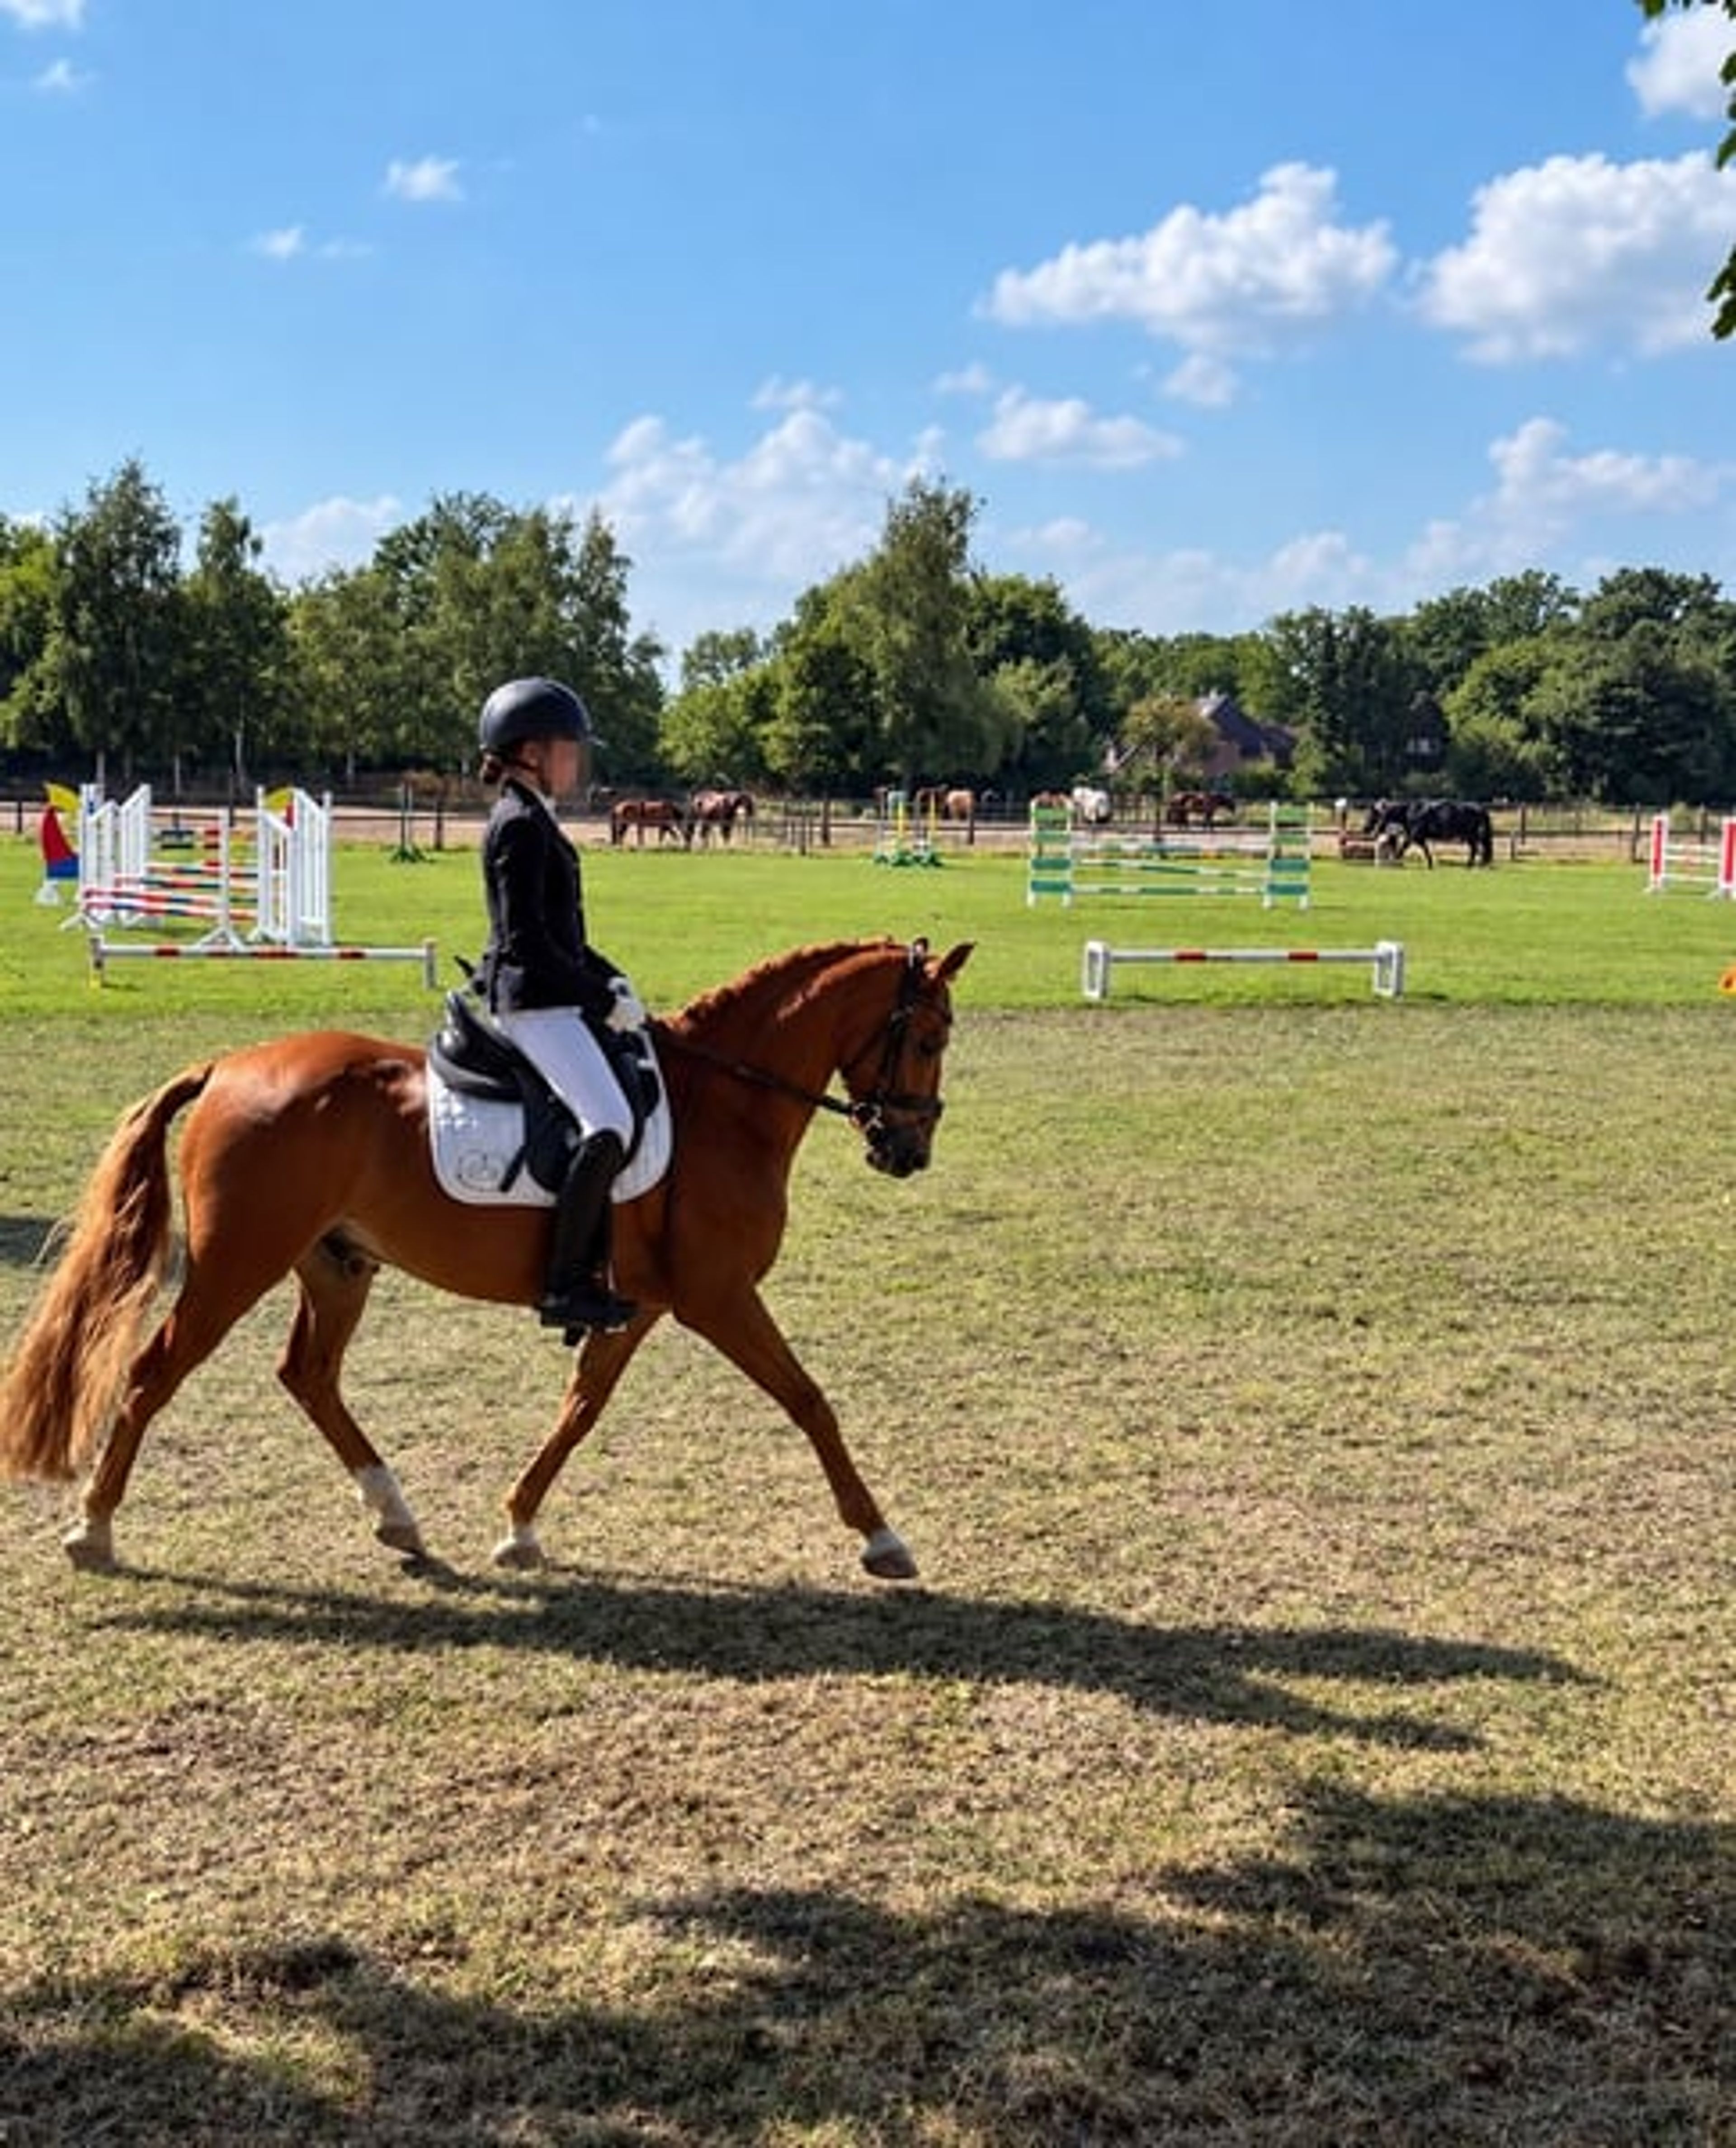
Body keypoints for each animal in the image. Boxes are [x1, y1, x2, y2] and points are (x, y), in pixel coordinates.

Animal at [0, 937, 973, 1581]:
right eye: (930, 1038)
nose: (909, 1151)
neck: (725, 1105)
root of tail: (229, 1064)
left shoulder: (645, 1302)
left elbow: (581, 1408)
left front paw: (519, 1527)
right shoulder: (718, 1296)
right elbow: (809, 1400)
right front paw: (881, 1537)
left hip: (336, 1264)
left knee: (309, 1374)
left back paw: (397, 1518)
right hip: (240, 1262)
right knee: (154, 1372)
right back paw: (93, 1530)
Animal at [609, 798, 689, 848]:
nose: (687, 837)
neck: (670, 810)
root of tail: (617, 807)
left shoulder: (664, 826)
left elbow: (668, 834)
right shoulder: (665, 826)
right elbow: (666, 835)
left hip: (626, 824)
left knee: (621, 833)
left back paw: (620, 844)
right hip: (625, 823)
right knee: (620, 833)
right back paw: (620, 844)